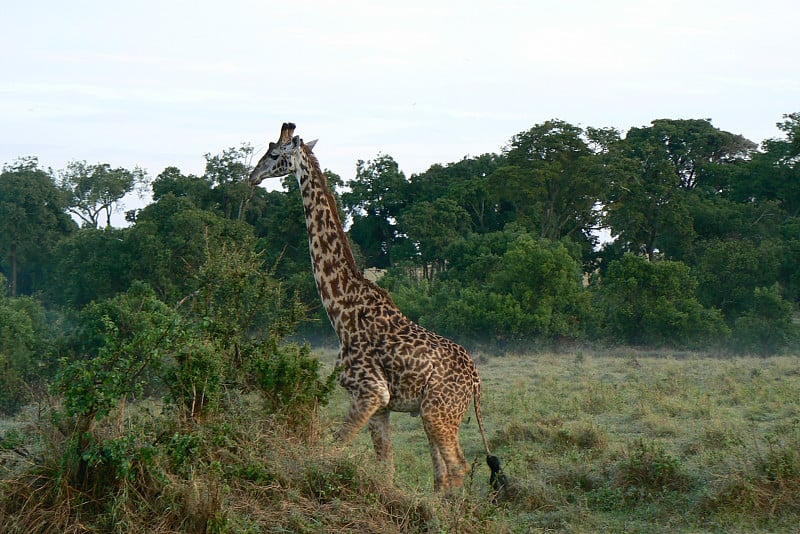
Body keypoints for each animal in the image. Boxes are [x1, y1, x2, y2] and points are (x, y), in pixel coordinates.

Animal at [248, 122, 506, 494]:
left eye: (272, 154)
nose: (252, 177)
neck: (341, 310)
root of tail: (476, 381)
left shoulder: (370, 392)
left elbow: (333, 448)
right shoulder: (381, 405)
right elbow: (387, 469)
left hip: (438, 413)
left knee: (456, 467)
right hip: (435, 413)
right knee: (442, 475)